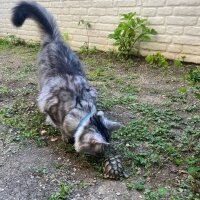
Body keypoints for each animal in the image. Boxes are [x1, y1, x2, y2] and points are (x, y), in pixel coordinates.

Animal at [11, 0, 121, 155]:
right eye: (99, 151)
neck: (79, 106)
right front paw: (65, 137)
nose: (102, 155)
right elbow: (61, 127)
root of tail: (54, 39)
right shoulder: (49, 106)